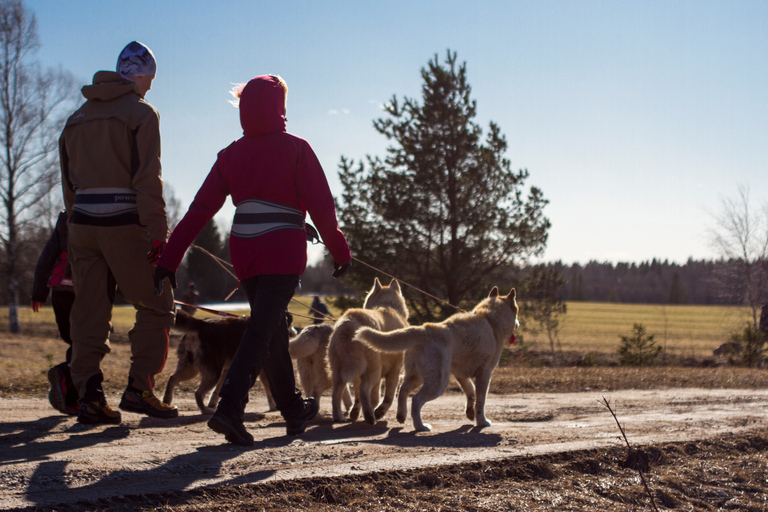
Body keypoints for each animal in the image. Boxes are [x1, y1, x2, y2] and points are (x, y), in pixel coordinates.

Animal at [328, 278, 412, 426]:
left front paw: (356, 412)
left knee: (336, 394)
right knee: (363, 389)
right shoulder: (394, 371)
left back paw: (339, 417)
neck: (388, 305)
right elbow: (388, 397)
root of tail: (349, 322)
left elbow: (367, 397)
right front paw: (379, 412)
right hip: (373, 370)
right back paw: (369, 416)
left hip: (339, 371)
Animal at [356, 288, 520, 432]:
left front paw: (470, 413)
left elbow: (471, 392)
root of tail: (423, 330)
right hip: (438, 383)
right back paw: (420, 427)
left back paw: (401, 415)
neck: (490, 320)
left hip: (418, 376)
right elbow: (481, 401)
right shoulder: (484, 374)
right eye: (516, 311)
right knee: (415, 400)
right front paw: (482, 422)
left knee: (402, 390)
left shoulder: (460, 374)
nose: (518, 324)